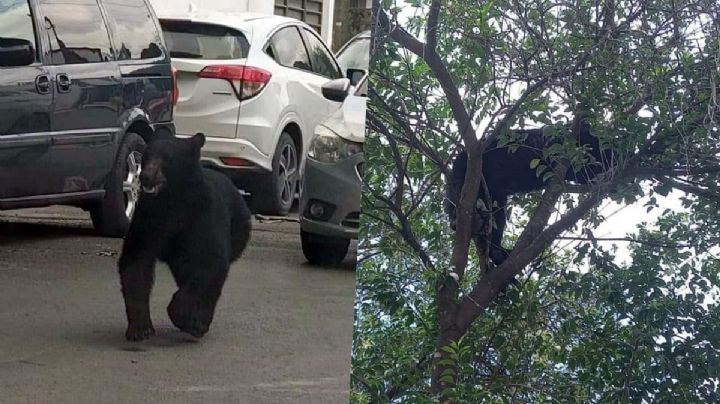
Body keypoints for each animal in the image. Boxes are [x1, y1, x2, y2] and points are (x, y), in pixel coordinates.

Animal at [117, 133, 252, 341]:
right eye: (147, 155)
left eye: (168, 158)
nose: (145, 175)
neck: (173, 200)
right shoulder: (149, 219)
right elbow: (136, 261)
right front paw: (140, 329)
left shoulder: (203, 216)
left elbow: (209, 263)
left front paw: (185, 317)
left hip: (238, 231)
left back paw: (202, 321)